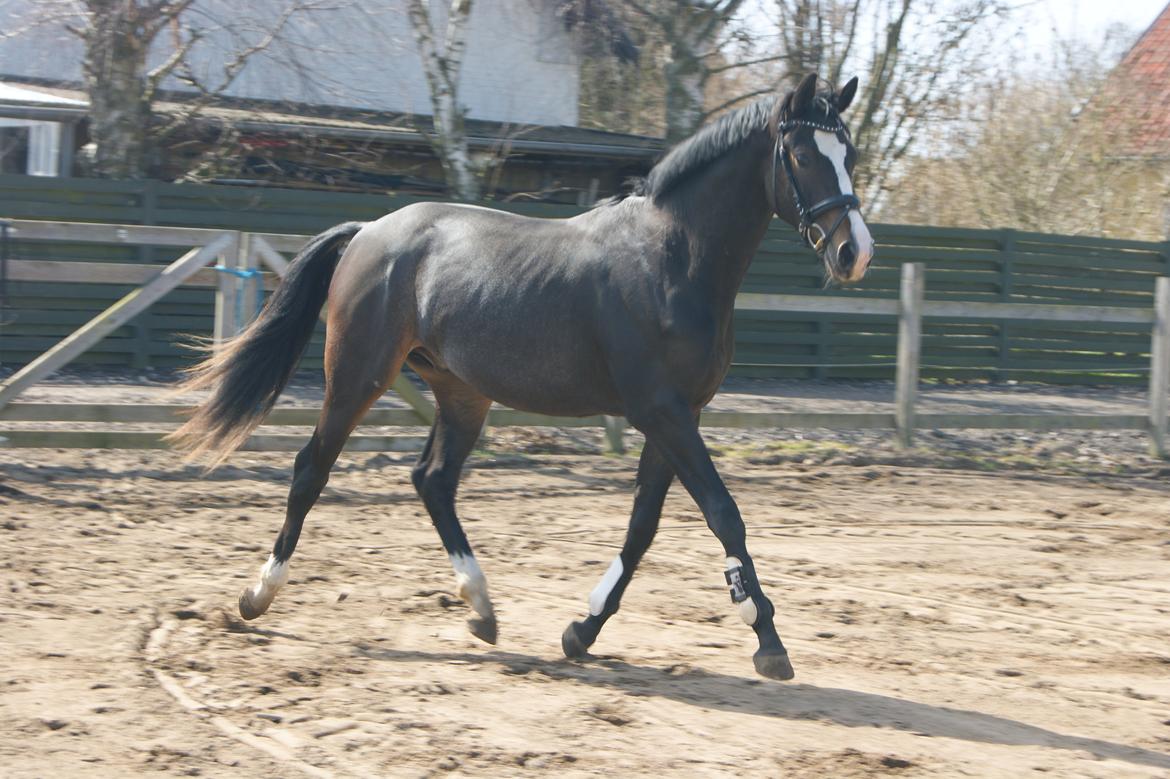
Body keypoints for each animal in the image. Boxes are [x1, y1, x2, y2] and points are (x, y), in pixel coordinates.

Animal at [170, 74, 870, 678]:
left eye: (851, 153)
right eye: (802, 154)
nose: (854, 252)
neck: (672, 258)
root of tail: (369, 231)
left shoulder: (678, 414)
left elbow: (642, 526)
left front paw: (581, 632)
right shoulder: (662, 411)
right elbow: (724, 514)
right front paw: (769, 641)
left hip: (461, 392)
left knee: (432, 480)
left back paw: (482, 610)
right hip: (357, 376)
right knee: (310, 469)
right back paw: (258, 595)